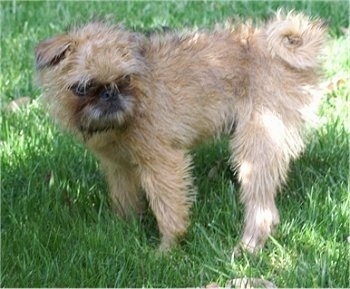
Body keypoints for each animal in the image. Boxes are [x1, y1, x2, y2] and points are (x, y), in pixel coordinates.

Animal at [34, 10, 326, 251]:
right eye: (82, 88)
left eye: (126, 79)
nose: (110, 94)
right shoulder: (118, 167)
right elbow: (123, 198)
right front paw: (122, 230)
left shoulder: (162, 163)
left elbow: (168, 207)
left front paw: (167, 248)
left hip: (258, 141)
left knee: (262, 207)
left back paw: (248, 245)